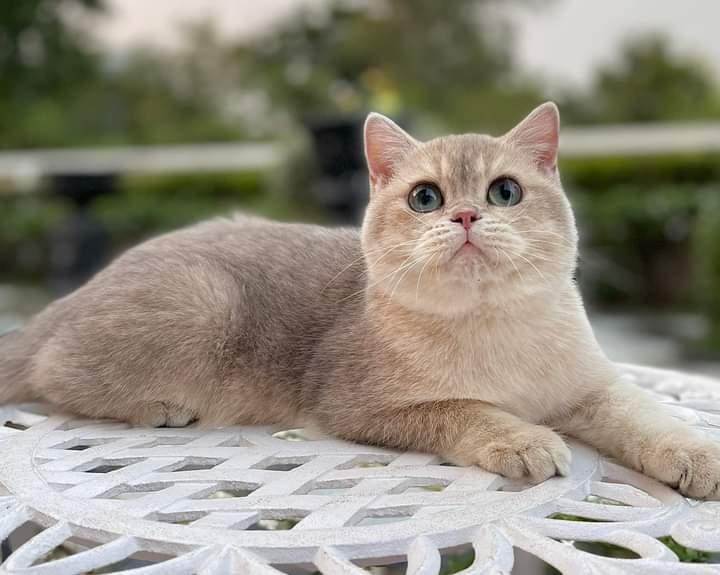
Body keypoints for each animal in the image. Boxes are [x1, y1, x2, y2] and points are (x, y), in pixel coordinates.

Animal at [1, 103, 720, 500]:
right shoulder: (354, 403)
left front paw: (695, 455)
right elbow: (465, 406)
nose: (464, 215)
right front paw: (520, 436)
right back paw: (161, 406)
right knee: (55, 373)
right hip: (203, 306)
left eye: (505, 191)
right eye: (425, 197)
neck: (491, 326)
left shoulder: (590, 386)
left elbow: (643, 413)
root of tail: (66, 300)